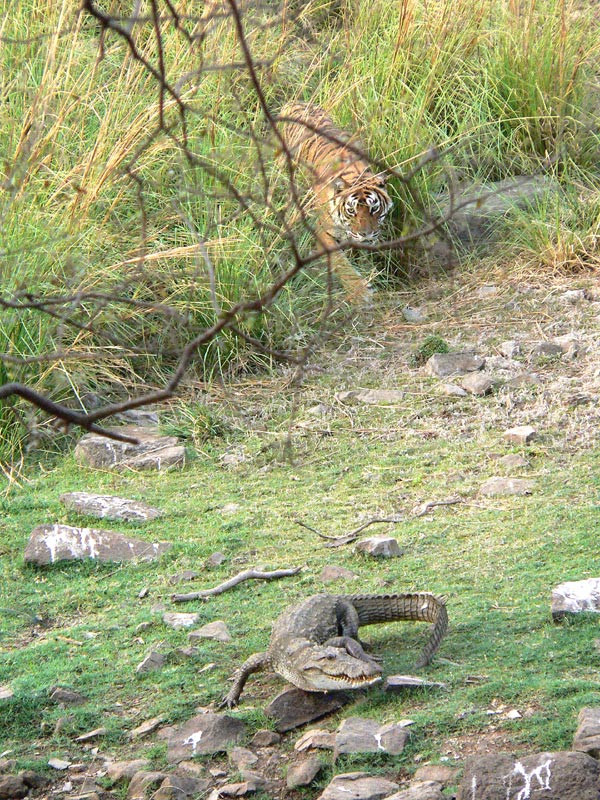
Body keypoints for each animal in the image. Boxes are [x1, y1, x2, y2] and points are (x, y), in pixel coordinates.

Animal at [278, 103, 394, 304]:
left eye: (374, 208)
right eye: (351, 211)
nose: (366, 234)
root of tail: (294, 102)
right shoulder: (323, 233)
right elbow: (341, 263)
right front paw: (360, 294)